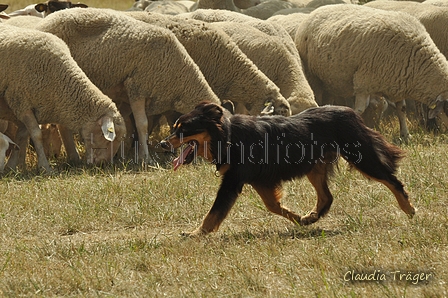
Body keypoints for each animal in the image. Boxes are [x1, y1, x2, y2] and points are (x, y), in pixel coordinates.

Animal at [0, 23, 126, 172]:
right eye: (105, 136)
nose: (103, 164)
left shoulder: (31, 108)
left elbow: (21, 136)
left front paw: (12, 166)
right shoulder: (20, 101)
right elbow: (36, 135)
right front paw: (45, 167)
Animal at [34, 8, 223, 164]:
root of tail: (47, 19)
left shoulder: (128, 95)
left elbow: (127, 124)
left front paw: (125, 154)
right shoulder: (137, 88)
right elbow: (142, 125)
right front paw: (145, 158)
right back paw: (73, 156)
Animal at [159, 101, 414, 236]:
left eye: (183, 129)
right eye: (174, 127)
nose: (162, 144)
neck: (227, 136)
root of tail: (350, 112)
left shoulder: (233, 181)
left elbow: (214, 213)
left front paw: (195, 234)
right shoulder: (259, 180)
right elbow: (273, 206)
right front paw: (299, 219)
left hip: (361, 158)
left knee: (392, 180)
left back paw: (409, 208)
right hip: (315, 168)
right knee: (326, 197)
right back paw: (311, 217)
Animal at [296, 4, 448, 140]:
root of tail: (316, 10)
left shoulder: (398, 85)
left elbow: (402, 110)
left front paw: (405, 135)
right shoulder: (363, 83)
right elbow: (359, 111)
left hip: (329, 81)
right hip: (313, 77)